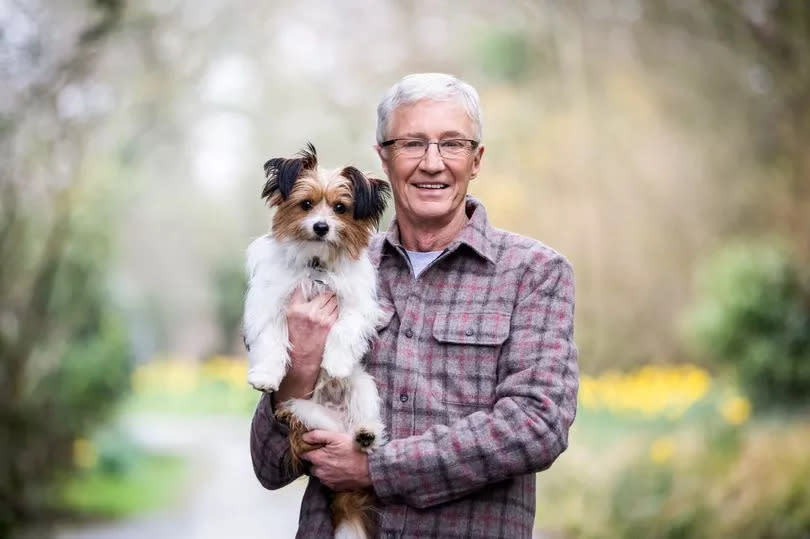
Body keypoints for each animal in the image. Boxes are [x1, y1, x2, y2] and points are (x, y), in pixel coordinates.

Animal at [243, 143, 388, 539]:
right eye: (306, 204)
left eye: (340, 208)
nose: (322, 226)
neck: (317, 265)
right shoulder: (271, 305)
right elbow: (272, 341)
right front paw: (265, 375)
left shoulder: (357, 306)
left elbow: (345, 328)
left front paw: (334, 362)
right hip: (306, 414)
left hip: (363, 386)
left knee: (365, 423)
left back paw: (366, 435)